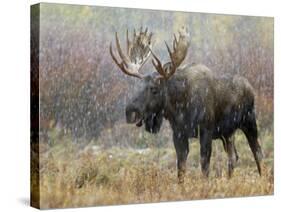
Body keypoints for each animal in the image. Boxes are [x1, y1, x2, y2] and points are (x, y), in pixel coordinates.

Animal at [108, 26, 262, 182]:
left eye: (154, 89)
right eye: (138, 86)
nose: (130, 112)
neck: (180, 106)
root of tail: (250, 88)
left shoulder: (206, 130)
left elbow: (204, 165)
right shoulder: (178, 133)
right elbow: (181, 167)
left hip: (249, 121)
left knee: (257, 152)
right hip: (228, 133)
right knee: (233, 157)